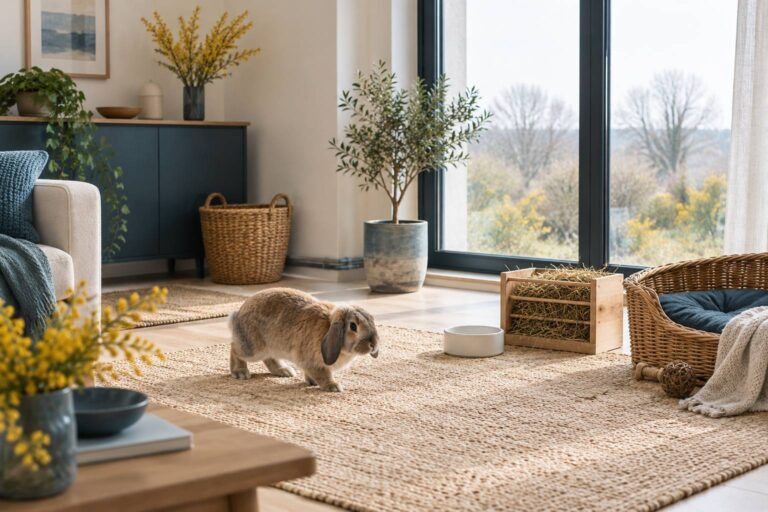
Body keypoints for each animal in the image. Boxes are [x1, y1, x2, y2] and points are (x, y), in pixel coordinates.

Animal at [228, 287, 380, 392]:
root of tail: (238, 313)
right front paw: (333, 387)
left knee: (269, 358)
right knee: (234, 349)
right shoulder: (314, 363)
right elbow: (323, 375)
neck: (328, 327)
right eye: (353, 326)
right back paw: (241, 372)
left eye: (372, 320)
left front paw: (311, 382)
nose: (373, 345)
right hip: (253, 349)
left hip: (271, 347)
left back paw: (284, 371)